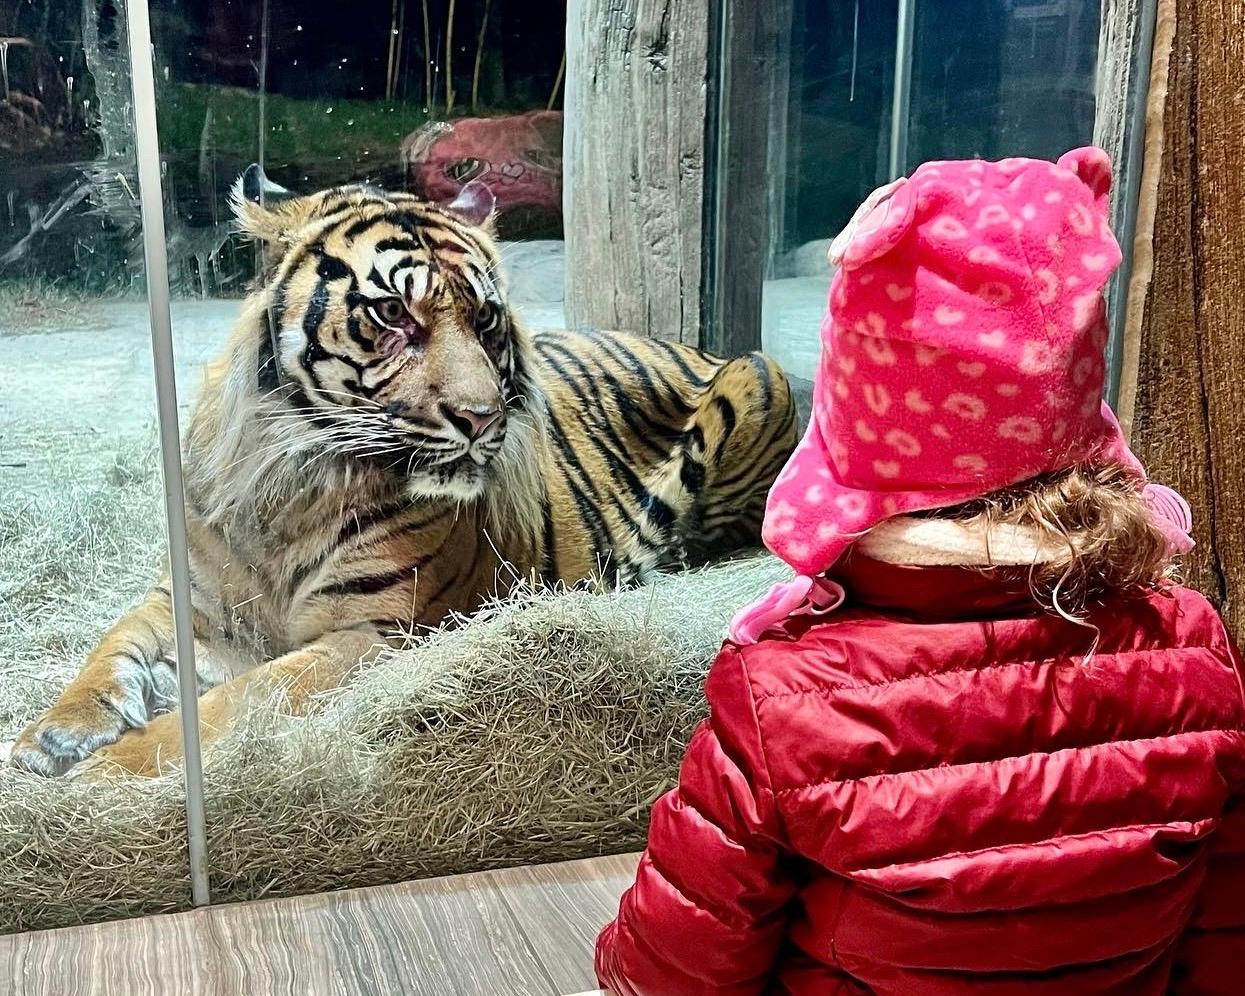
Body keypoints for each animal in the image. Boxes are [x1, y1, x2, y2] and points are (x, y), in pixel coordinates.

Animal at [10, 167, 798, 778]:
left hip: (757, 376)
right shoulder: (191, 599)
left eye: (485, 320)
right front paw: (49, 737)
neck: (289, 486)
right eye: (392, 313)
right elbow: (112, 646)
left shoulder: (374, 630)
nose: (481, 418)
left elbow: (240, 700)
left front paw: (107, 769)